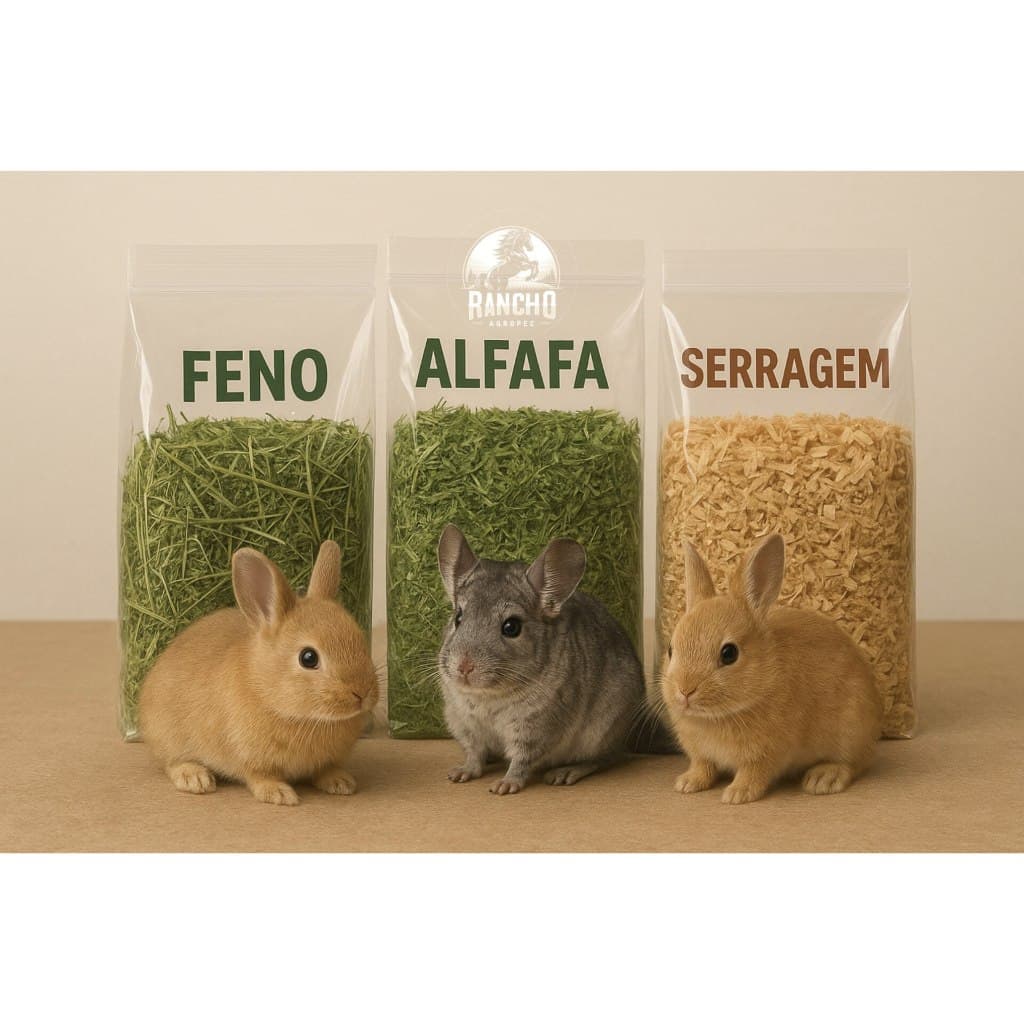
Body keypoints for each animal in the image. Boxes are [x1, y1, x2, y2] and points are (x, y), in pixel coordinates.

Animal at [436, 524, 646, 795]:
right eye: (458, 617)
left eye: (511, 627)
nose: (464, 667)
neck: (488, 697)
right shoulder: (465, 724)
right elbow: (474, 754)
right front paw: (460, 773)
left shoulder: (535, 728)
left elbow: (521, 760)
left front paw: (504, 785)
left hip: (599, 734)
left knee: (606, 758)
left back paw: (565, 773)